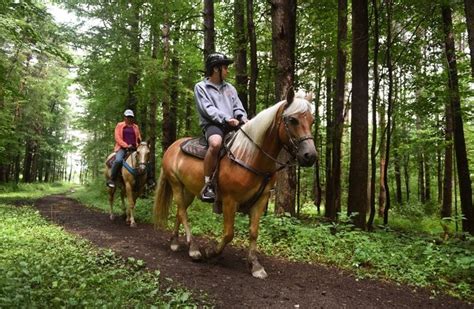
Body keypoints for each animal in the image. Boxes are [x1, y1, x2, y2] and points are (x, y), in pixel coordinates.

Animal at [154, 88, 318, 278]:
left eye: (312, 120)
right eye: (293, 120)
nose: (310, 156)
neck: (250, 156)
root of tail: (172, 147)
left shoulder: (261, 200)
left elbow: (254, 232)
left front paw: (255, 265)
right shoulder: (229, 201)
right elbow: (229, 233)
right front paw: (211, 252)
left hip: (188, 190)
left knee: (180, 213)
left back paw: (174, 242)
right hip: (176, 185)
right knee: (182, 211)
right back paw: (193, 249)